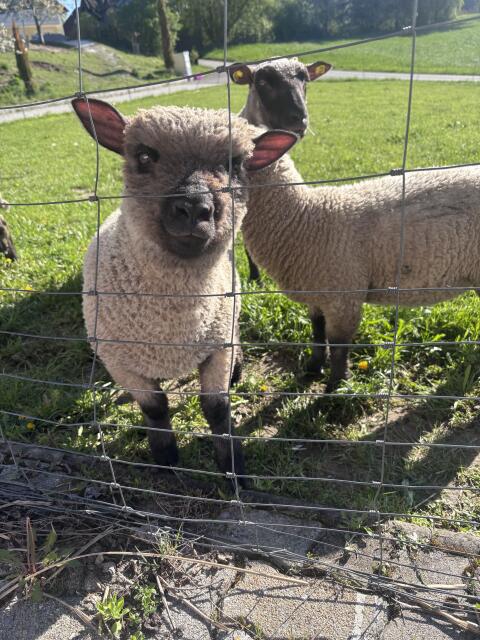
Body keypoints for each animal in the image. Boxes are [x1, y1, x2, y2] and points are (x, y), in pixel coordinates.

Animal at [71, 97, 297, 483]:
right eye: (144, 156)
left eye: (236, 165)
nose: (194, 208)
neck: (173, 326)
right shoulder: (119, 360)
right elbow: (155, 407)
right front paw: (165, 459)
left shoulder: (217, 347)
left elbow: (217, 407)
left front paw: (233, 467)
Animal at [242, 153, 480, 392]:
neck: (304, 219)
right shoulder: (317, 292)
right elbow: (317, 332)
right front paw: (312, 369)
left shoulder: (343, 295)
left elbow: (338, 345)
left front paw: (336, 387)